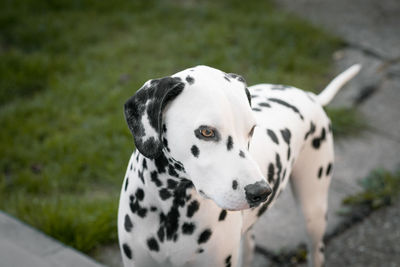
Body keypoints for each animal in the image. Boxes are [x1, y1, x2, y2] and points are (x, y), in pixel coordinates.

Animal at [117, 63, 360, 266]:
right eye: (206, 132)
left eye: (251, 129)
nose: (260, 192)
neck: (172, 209)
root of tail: (309, 96)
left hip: (313, 213)